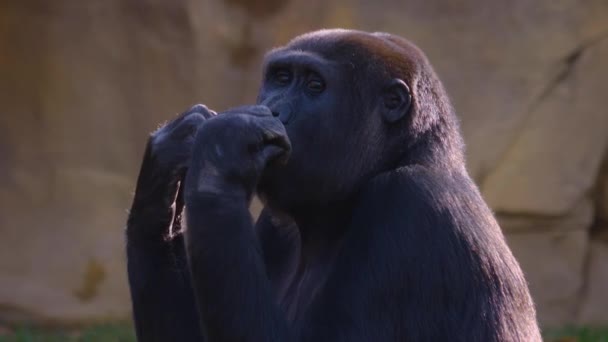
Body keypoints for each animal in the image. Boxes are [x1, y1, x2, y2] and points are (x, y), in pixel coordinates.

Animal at [124, 30, 540, 342]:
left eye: (314, 85)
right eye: (281, 78)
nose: (276, 110)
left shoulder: (410, 205)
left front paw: (221, 148)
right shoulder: (277, 224)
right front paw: (166, 160)